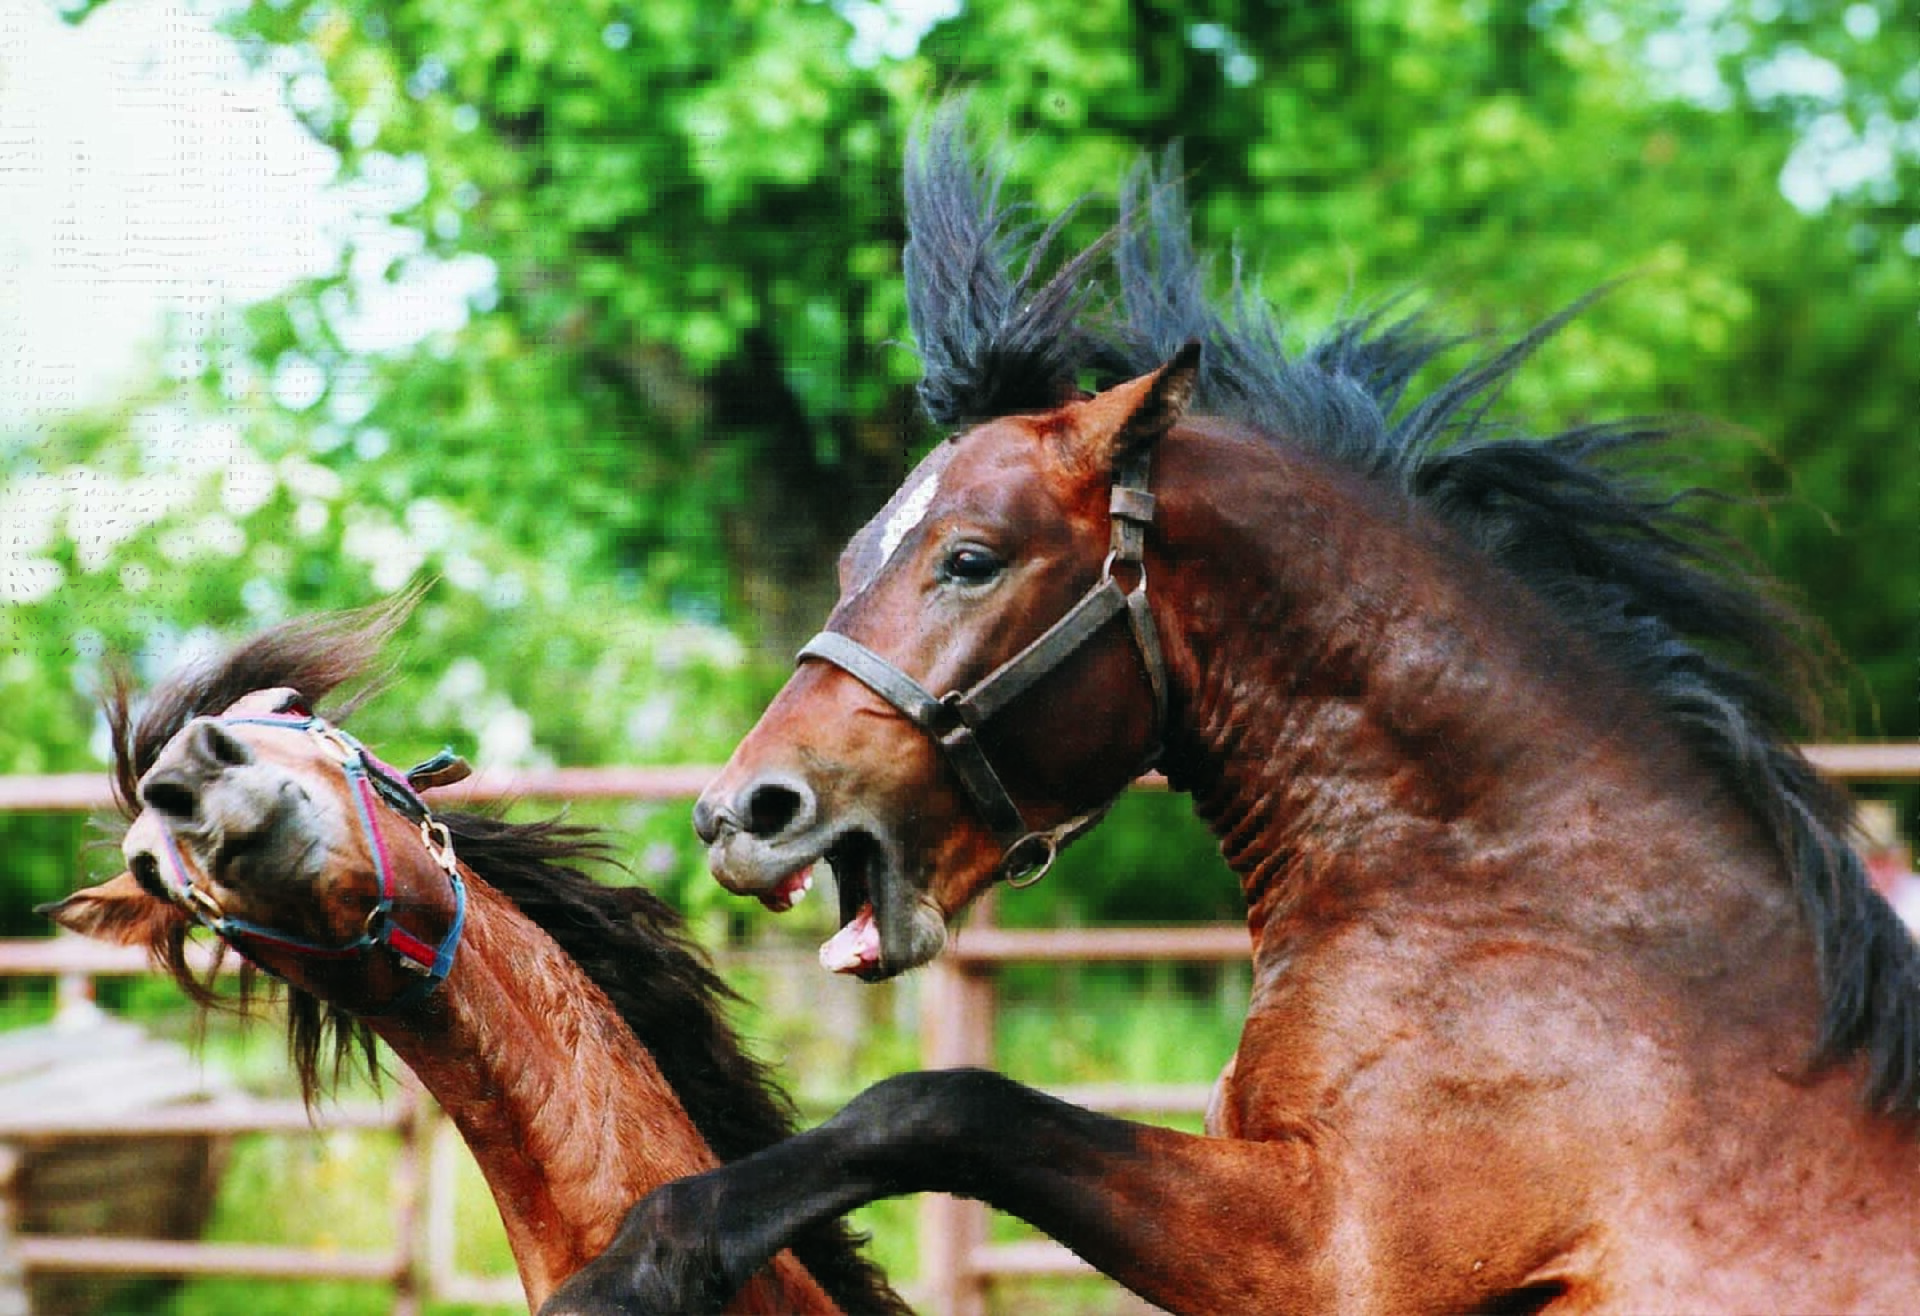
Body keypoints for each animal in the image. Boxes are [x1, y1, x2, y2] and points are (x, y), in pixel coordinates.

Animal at [544, 111, 1920, 1313]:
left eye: (971, 558)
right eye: (848, 558)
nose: (742, 811)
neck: (1540, 911)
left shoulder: (1330, 1254)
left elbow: (939, 1100)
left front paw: (644, 1258)